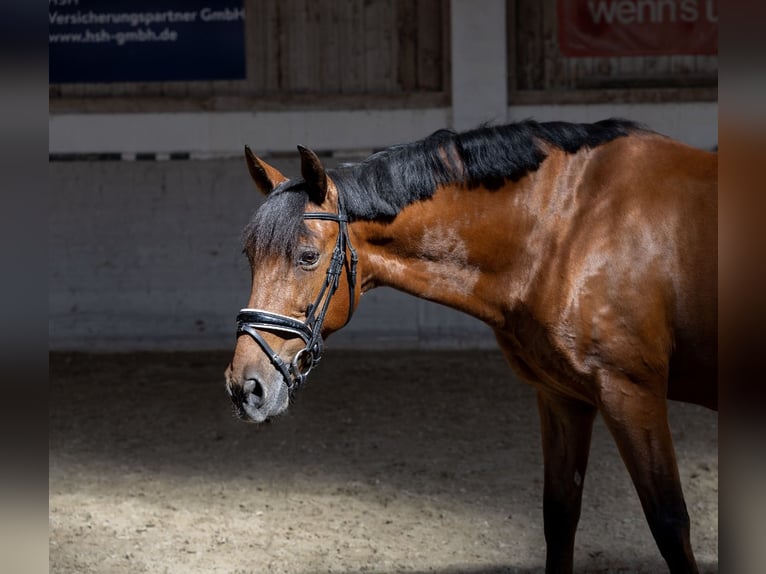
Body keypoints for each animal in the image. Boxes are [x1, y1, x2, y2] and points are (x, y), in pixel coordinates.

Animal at [224, 119, 717, 574]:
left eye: (307, 257)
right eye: (250, 256)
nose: (246, 388)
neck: (570, 229)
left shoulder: (631, 393)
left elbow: (669, 523)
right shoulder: (562, 397)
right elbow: (560, 517)